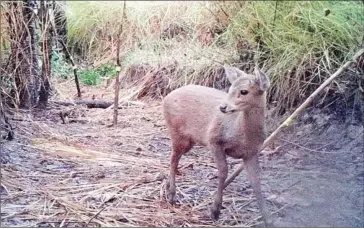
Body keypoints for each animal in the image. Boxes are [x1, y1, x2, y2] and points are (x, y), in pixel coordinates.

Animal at [162, 64, 270, 225]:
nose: (223, 107)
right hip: (177, 133)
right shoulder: (214, 140)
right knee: (173, 158)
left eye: (244, 91)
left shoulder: (251, 153)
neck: (241, 134)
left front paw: (268, 218)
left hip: (188, 140)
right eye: (230, 88)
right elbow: (223, 172)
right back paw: (172, 195)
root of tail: (166, 97)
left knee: (174, 158)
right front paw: (215, 210)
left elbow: (256, 181)